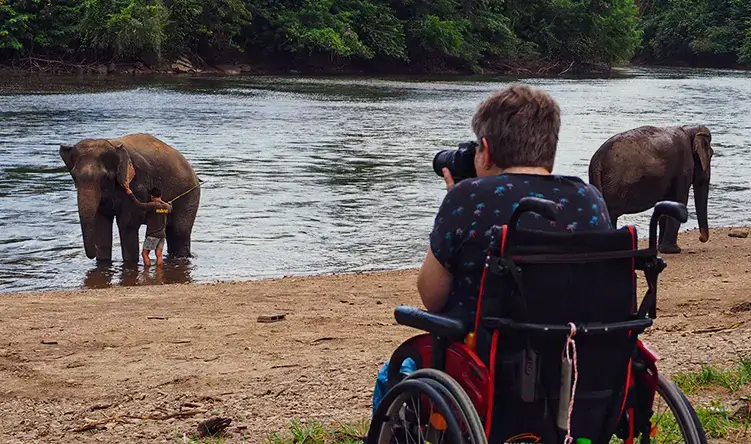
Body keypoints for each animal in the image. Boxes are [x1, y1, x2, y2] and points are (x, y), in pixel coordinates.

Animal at [60, 133, 200, 263]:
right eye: (73, 176)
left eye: (104, 177)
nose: (92, 254)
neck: (113, 145)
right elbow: (101, 223)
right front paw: (103, 261)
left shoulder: (138, 182)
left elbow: (127, 224)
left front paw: (130, 262)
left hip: (190, 196)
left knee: (179, 232)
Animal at [588, 125, 713, 254]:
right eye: (711, 155)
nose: (701, 238)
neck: (688, 129)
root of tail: (597, 160)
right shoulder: (684, 167)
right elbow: (679, 202)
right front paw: (673, 250)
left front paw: (662, 249)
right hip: (613, 184)